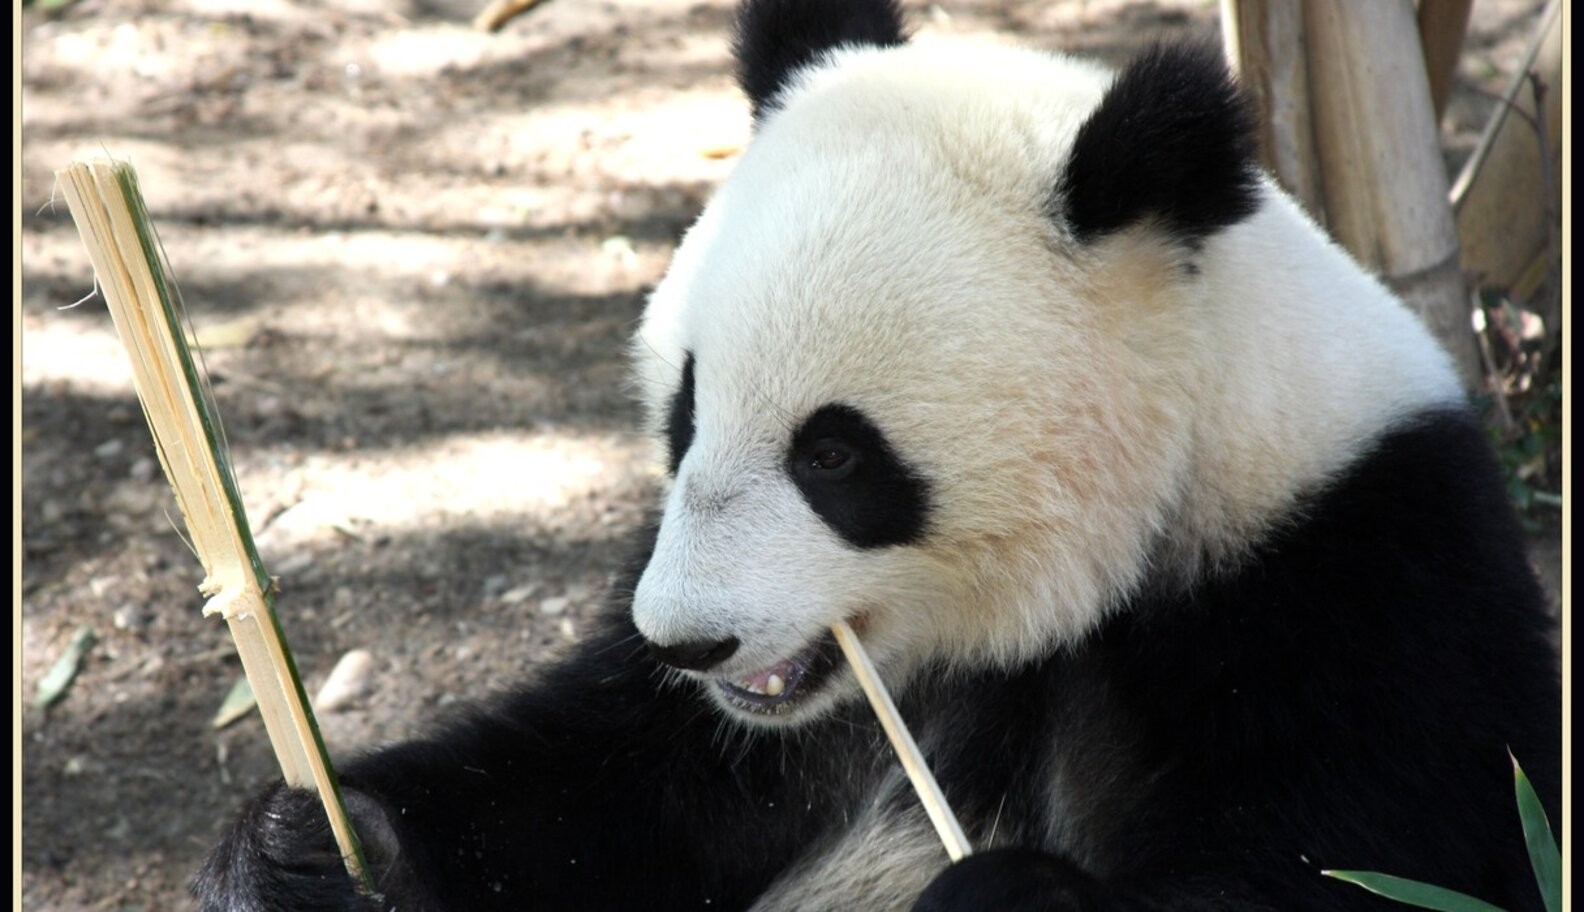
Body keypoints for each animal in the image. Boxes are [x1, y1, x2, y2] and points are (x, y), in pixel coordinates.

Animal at [194, 1, 1562, 910]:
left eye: (836, 458)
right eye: (685, 408)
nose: (690, 643)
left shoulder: (1353, 591)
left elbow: (1350, 867)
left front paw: (1005, 899)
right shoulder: (728, 725)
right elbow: (606, 791)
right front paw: (313, 850)